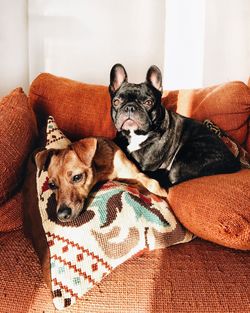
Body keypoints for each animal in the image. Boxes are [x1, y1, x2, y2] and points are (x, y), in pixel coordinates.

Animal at [35, 137, 167, 222]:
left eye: (77, 177)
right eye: (52, 185)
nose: (62, 215)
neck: (101, 170)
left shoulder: (135, 174)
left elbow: (151, 183)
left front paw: (161, 193)